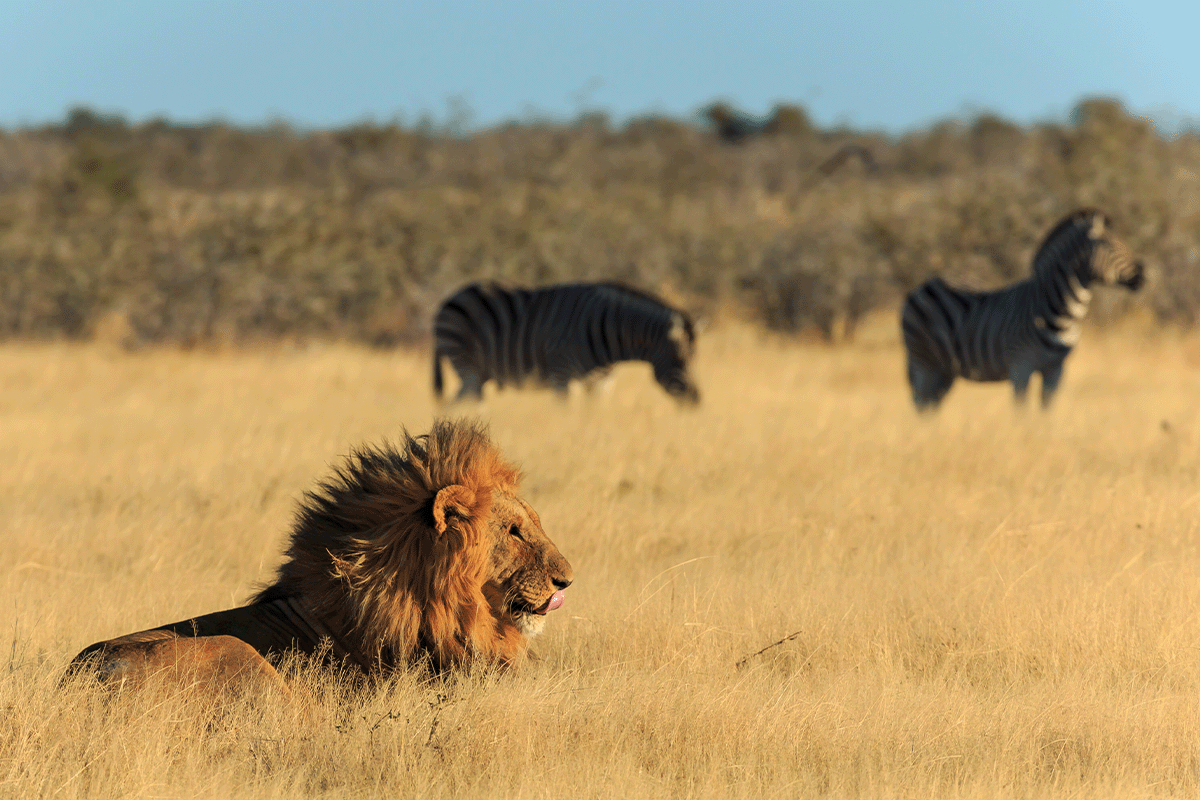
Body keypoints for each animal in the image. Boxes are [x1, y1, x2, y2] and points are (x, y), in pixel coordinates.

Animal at [432, 284, 700, 402]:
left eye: (695, 359)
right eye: (680, 360)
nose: (697, 400)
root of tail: (447, 300)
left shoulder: (600, 383)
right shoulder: (561, 374)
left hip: (480, 375)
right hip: (467, 365)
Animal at [902, 209, 1142, 410]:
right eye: (1109, 245)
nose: (1143, 273)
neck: (1061, 313)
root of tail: (922, 286)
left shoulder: (1056, 370)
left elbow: (1046, 411)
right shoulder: (1021, 367)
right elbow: (1021, 413)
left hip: (945, 369)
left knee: (931, 407)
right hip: (923, 361)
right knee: (920, 404)